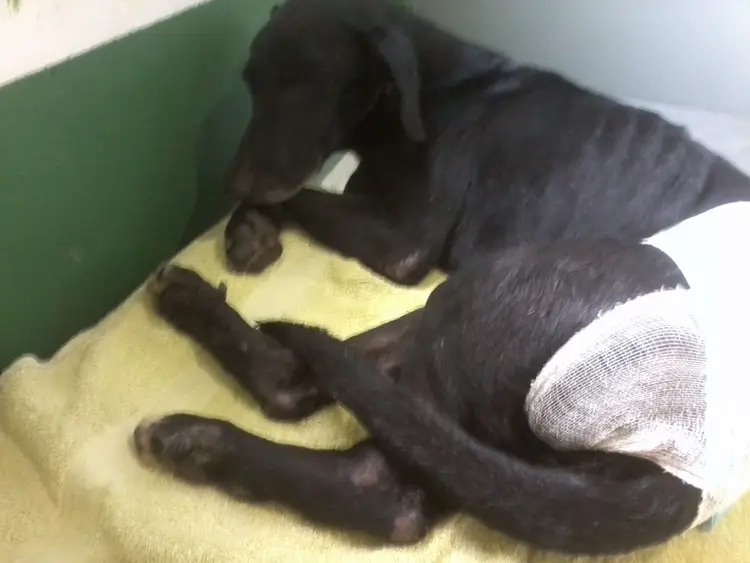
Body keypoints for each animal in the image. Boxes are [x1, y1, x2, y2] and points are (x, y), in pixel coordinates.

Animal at [222, 0, 750, 285]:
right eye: (249, 82)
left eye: (308, 90)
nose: (234, 183)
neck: (423, 93)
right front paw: (244, 226)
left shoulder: (404, 244)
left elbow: (303, 198)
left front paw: (249, 221)